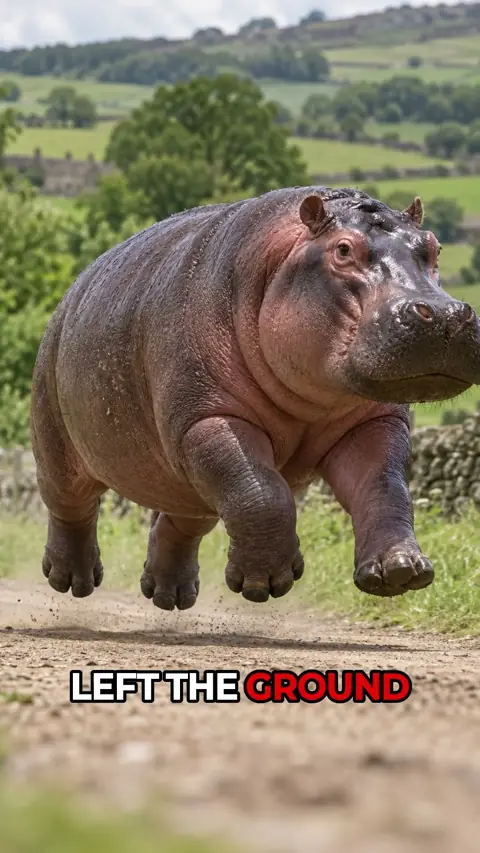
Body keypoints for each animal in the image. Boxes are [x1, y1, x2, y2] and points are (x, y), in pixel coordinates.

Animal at [30, 186, 480, 609]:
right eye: (343, 249)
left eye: (434, 246)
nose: (445, 315)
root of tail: (71, 292)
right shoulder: (205, 419)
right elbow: (260, 490)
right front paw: (265, 582)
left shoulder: (374, 422)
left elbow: (383, 486)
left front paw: (401, 571)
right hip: (56, 440)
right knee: (70, 505)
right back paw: (71, 581)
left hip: (184, 482)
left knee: (180, 521)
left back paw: (169, 596)